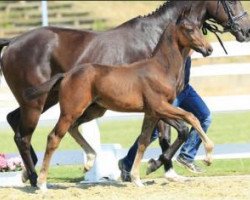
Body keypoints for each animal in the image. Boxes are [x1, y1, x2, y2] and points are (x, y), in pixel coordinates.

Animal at [0, 0, 250, 187]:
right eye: (231, 1)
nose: (245, 31)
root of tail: (12, 41)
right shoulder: (162, 104)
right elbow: (170, 133)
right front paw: (154, 166)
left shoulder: (163, 104)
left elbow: (170, 132)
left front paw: (155, 169)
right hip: (38, 103)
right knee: (25, 135)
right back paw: (35, 178)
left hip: (52, 100)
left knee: (14, 120)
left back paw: (29, 172)